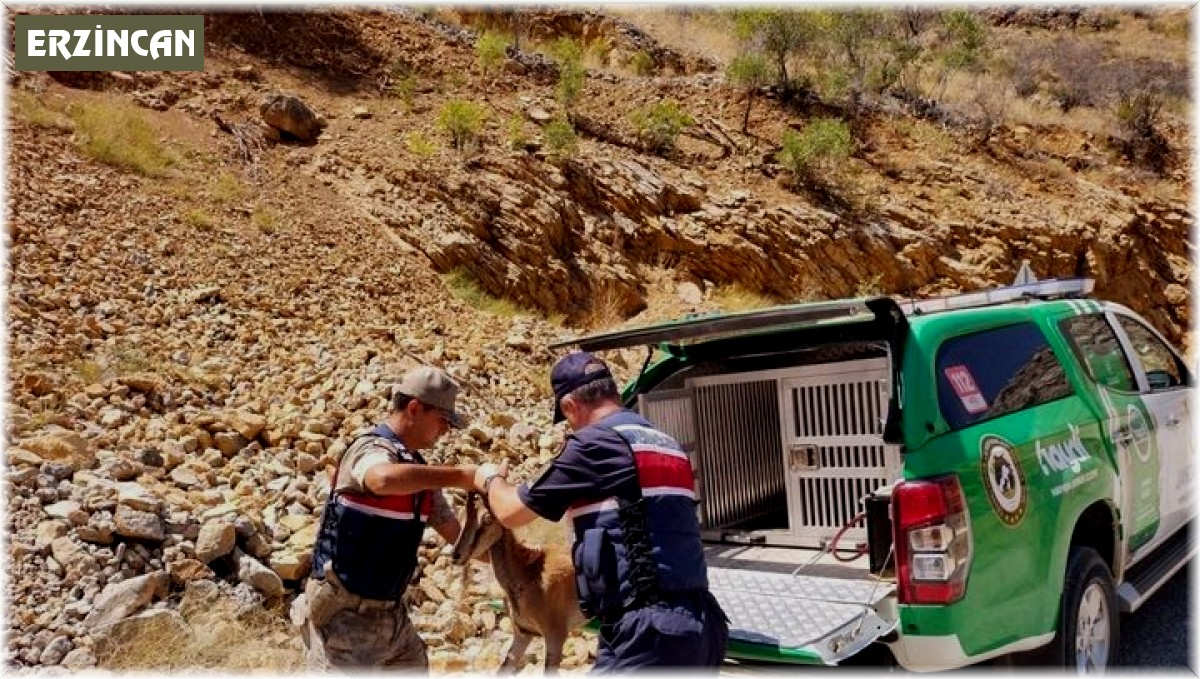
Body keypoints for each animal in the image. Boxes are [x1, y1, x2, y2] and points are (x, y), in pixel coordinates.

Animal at [451, 491, 583, 671]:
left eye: (487, 519)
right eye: (461, 515)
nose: (456, 555)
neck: (529, 573)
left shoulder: (556, 637)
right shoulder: (523, 634)